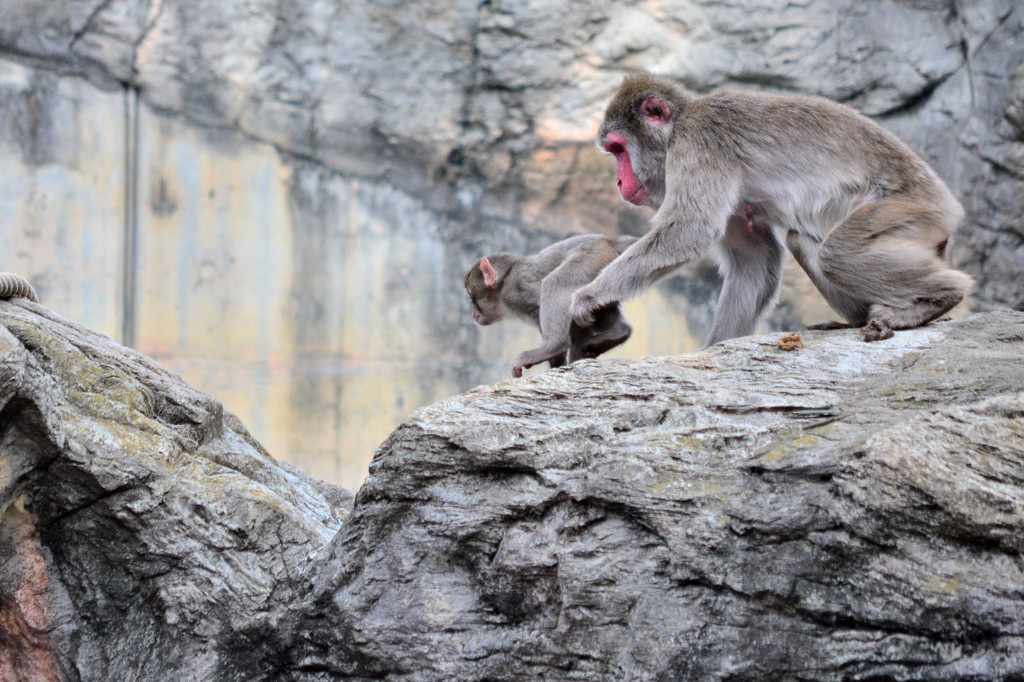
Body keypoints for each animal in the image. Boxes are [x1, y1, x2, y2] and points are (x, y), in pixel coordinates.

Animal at [466, 233, 638, 376]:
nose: (473, 314)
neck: (504, 282)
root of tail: (607, 239)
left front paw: (556, 353)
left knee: (557, 283)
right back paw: (619, 331)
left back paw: (554, 345)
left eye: (472, 297)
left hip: (592, 257)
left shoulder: (516, 290)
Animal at [573, 71, 970, 342]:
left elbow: (688, 229)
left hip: (913, 210)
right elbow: (754, 260)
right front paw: (715, 349)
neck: (678, 129)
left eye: (618, 149)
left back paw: (940, 297)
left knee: (838, 253)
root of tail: (948, 206)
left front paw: (590, 295)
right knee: (803, 241)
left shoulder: (699, 141)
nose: (619, 182)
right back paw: (858, 319)